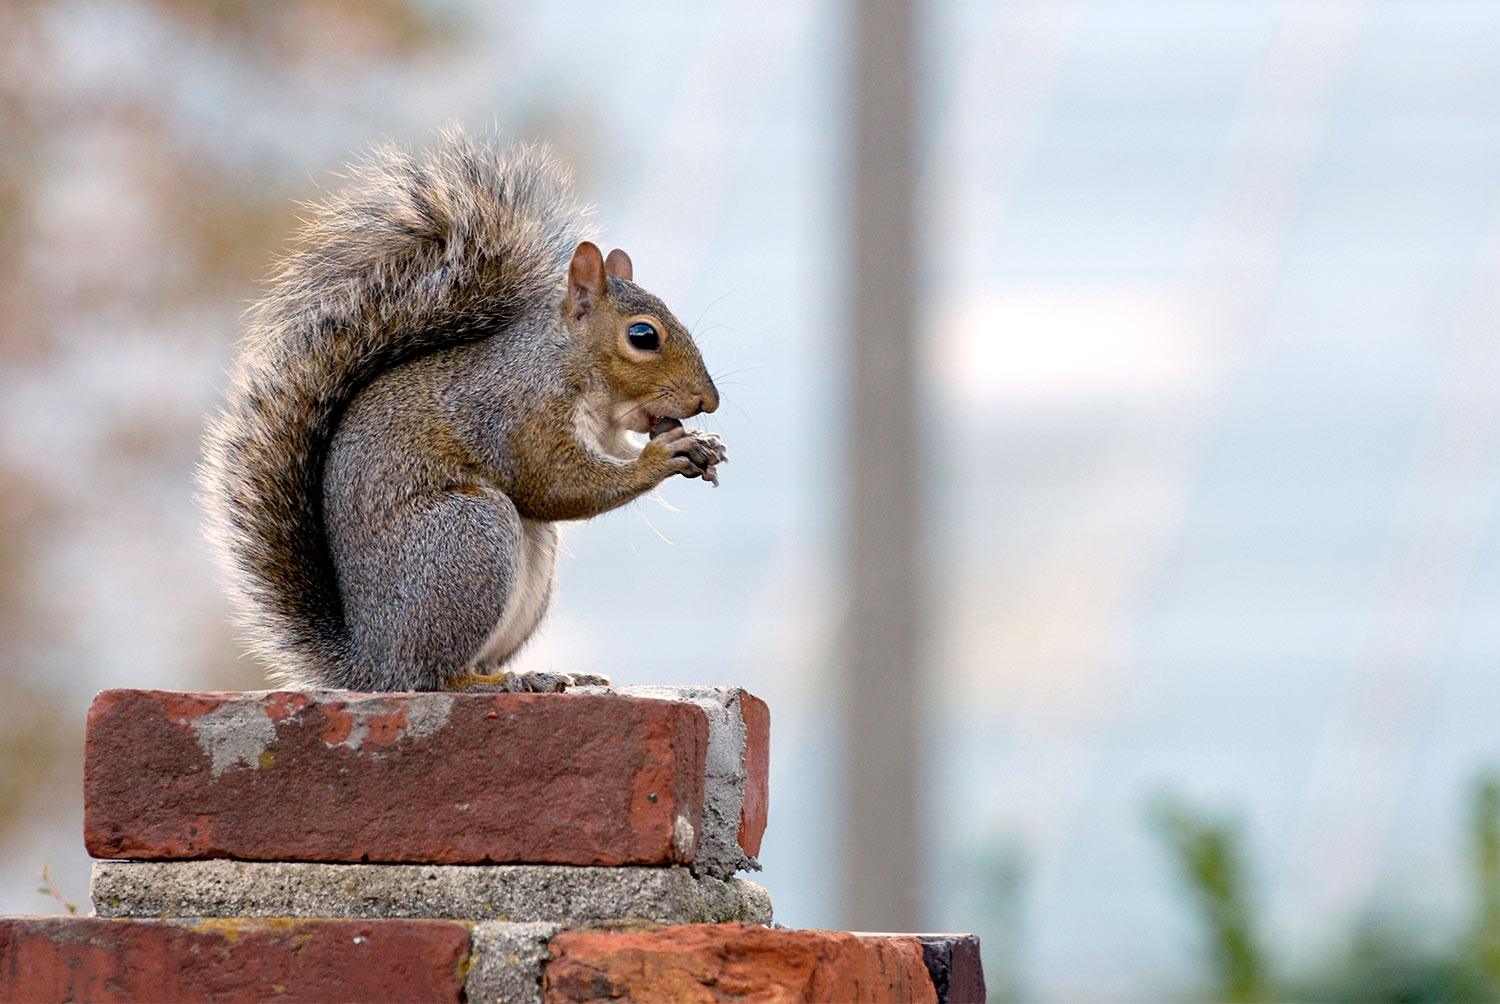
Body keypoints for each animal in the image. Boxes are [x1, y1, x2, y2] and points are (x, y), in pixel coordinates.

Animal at [199, 129, 726, 693]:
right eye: (643, 336)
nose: (708, 402)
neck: (577, 375)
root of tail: (374, 664)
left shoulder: (603, 433)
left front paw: (703, 445)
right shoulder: (519, 413)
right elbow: (554, 483)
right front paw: (662, 457)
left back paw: (544, 673)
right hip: (469, 536)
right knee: (435, 676)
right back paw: (498, 682)